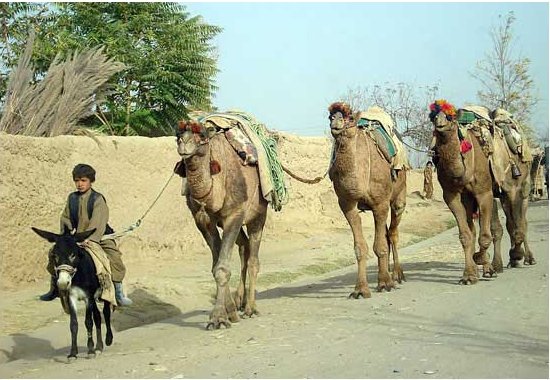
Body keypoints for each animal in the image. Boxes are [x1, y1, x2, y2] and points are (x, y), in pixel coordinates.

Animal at [176, 119, 268, 330]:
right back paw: (241, 302)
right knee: (244, 247)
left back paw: (251, 308)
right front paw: (229, 312)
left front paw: (218, 318)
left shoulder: (235, 213)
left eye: (201, 135)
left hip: (258, 214)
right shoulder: (203, 220)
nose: (183, 143)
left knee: (253, 259)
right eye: (177, 135)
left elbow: (222, 268)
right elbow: (215, 266)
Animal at [328, 102, 410, 298]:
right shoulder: (347, 204)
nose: (335, 121)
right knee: (387, 234)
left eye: (349, 118)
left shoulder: (380, 203)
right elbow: (360, 247)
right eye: (330, 116)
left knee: (393, 233)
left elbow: (379, 246)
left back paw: (397, 275)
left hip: (398, 195)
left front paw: (385, 283)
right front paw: (360, 289)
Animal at [432, 99, 500, 284]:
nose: (439, 122)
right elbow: (465, 235)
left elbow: (485, 236)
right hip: (468, 198)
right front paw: (469, 275)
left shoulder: (484, 192)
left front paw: (480, 258)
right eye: (433, 116)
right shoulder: (451, 195)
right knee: (475, 228)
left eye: (450, 116)